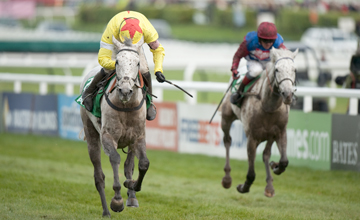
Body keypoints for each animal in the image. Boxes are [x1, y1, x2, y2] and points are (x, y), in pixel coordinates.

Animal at [80, 36, 149, 217]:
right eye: (117, 61)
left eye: (137, 63)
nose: (125, 91)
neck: (126, 106)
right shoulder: (107, 136)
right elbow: (115, 159)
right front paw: (117, 200)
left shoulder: (138, 136)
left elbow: (143, 164)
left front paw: (132, 186)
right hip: (91, 133)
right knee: (99, 176)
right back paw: (106, 211)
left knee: (129, 166)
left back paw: (131, 197)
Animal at [221, 47, 300, 198]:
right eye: (277, 70)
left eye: (294, 70)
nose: (288, 94)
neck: (268, 106)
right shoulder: (252, 137)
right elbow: (251, 173)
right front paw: (243, 187)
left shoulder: (279, 132)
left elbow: (283, 161)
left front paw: (275, 166)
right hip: (226, 117)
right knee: (227, 140)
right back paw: (227, 179)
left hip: (269, 135)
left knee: (265, 154)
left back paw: (269, 186)